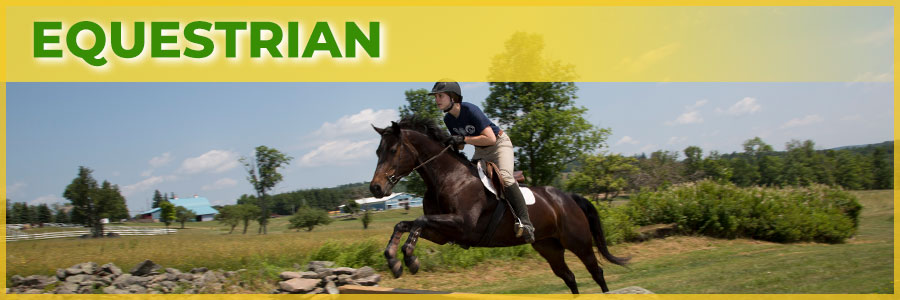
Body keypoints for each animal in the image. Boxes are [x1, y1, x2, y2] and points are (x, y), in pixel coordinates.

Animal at [370, 116, 628, 294]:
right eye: (377, 151)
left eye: (393, 150)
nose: (376, 188)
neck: (448, 177)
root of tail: (568, 197)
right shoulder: (442, 233)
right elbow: (404, 224)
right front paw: (394, 261)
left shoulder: (462, 225)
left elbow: (418, 221)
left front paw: (410, 259)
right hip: (549, 247)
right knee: (569, 276)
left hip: (578, 242)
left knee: (596, 272)